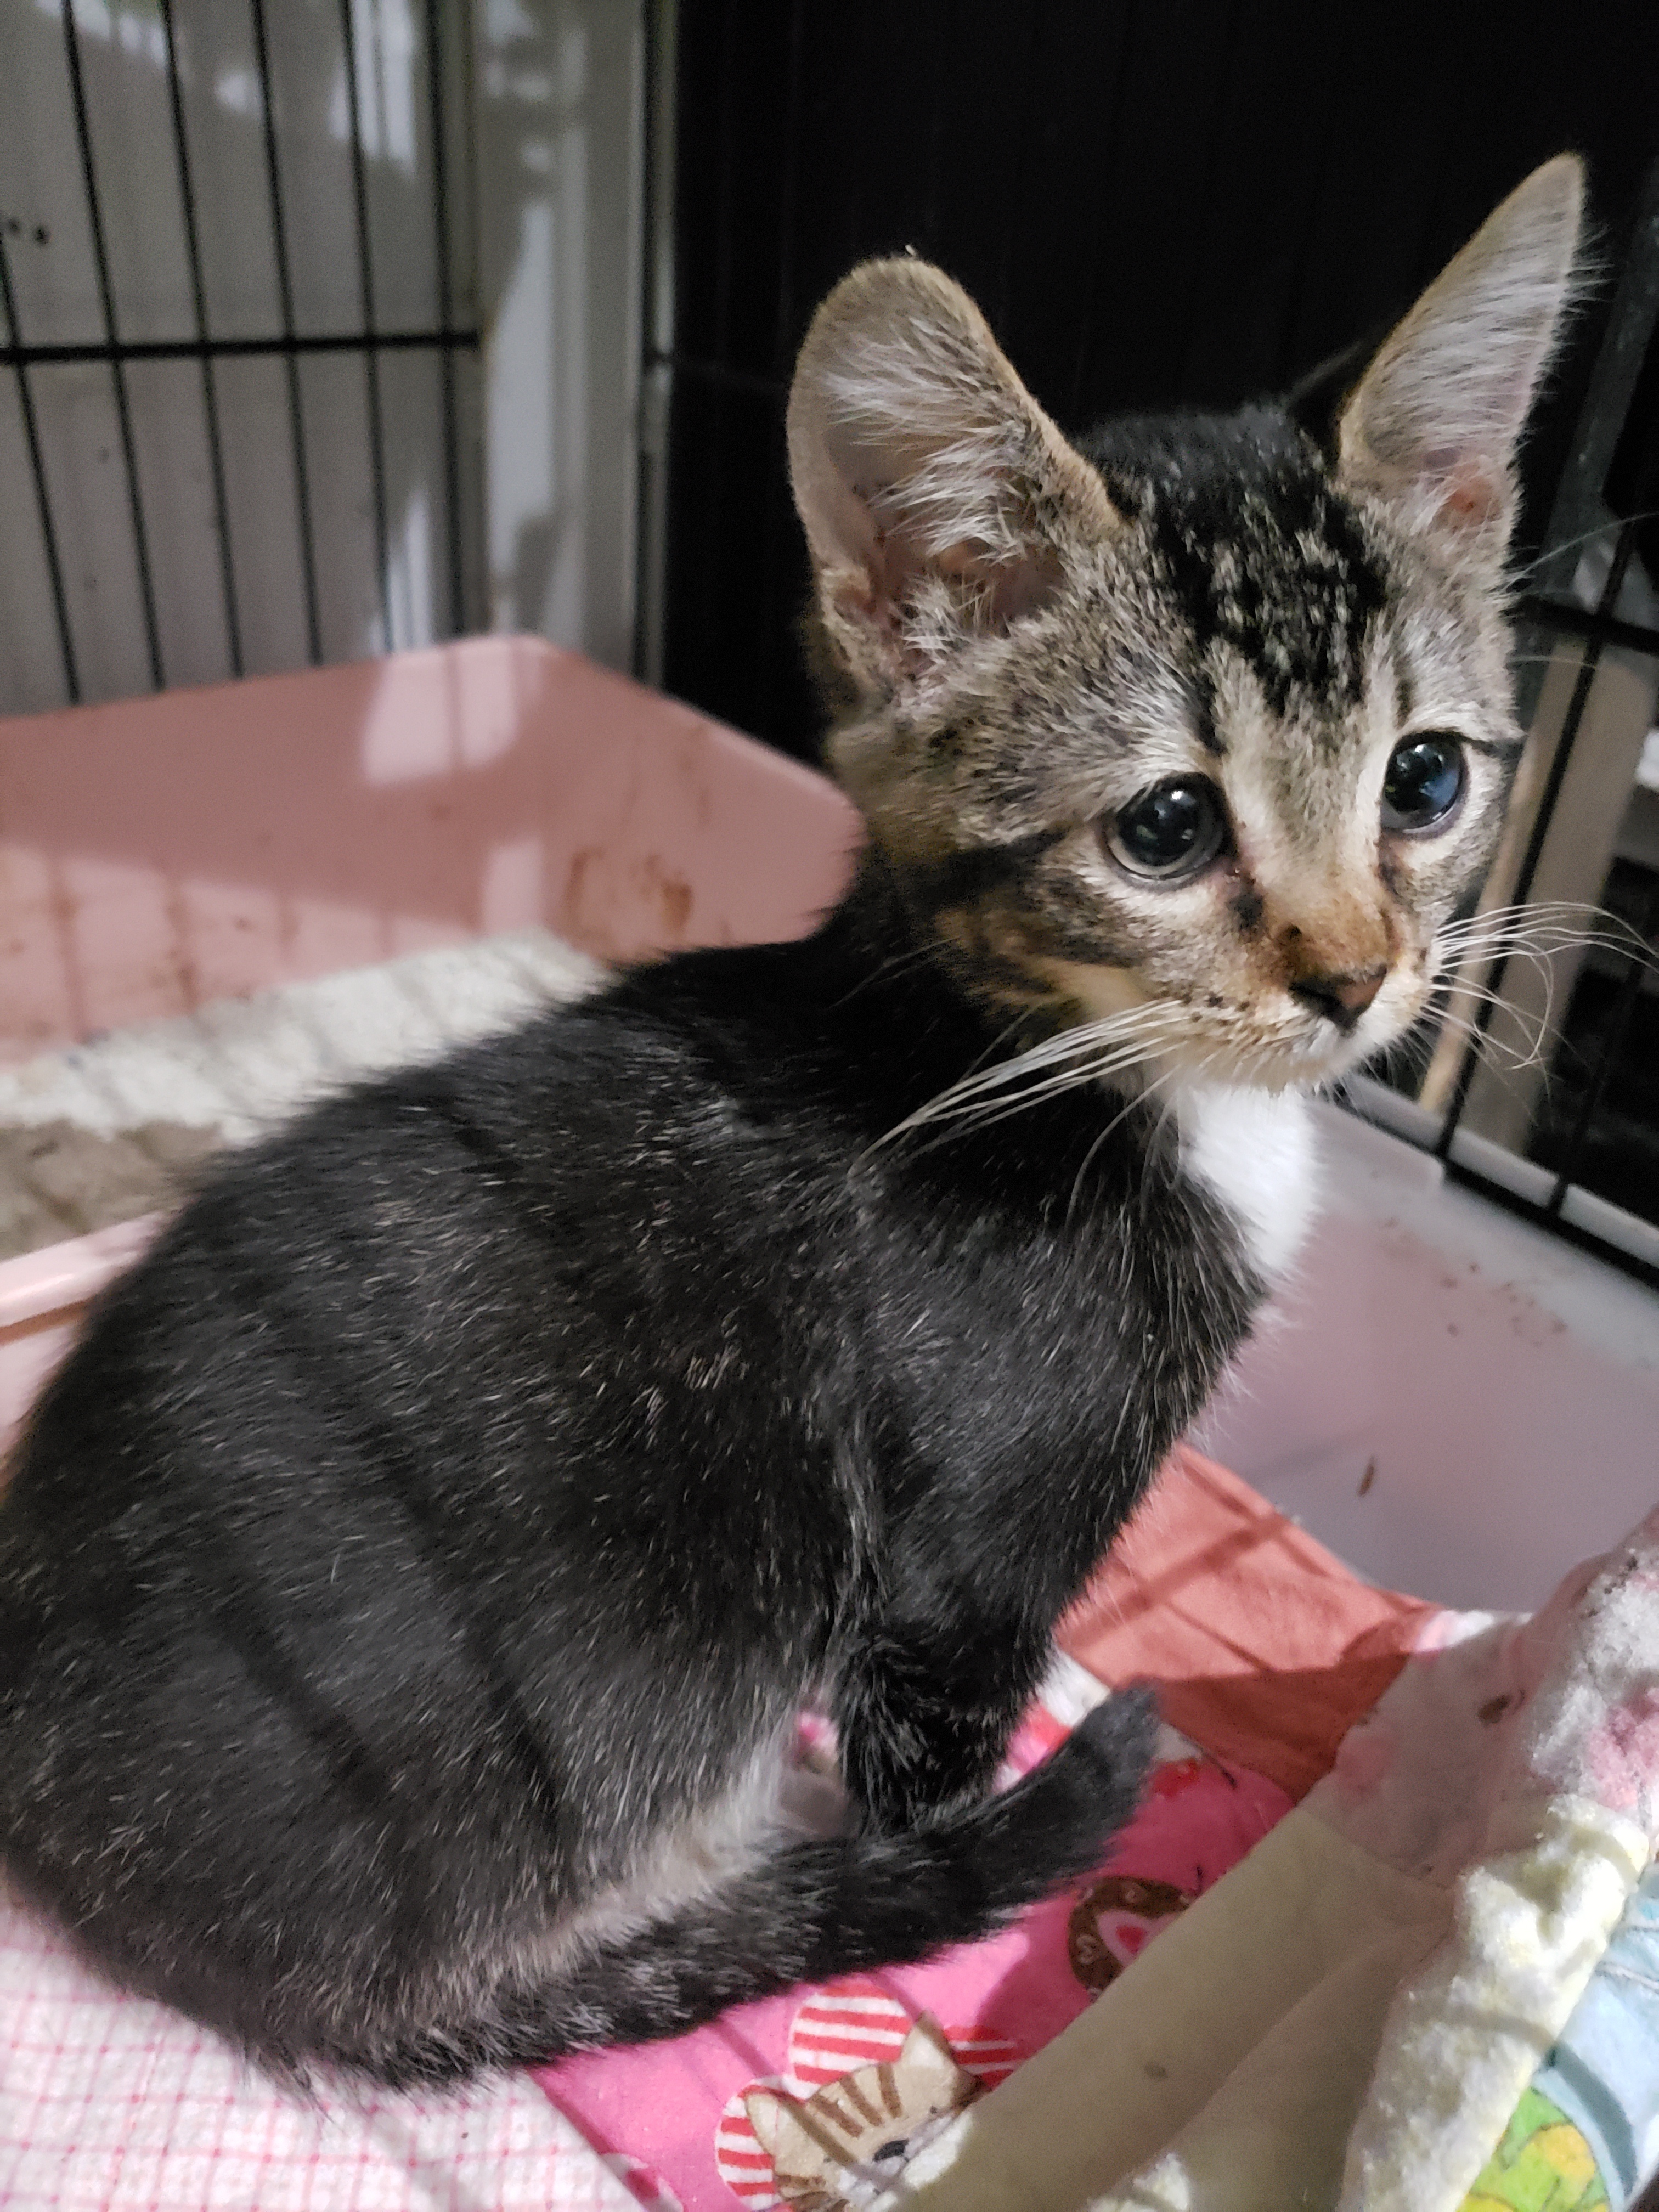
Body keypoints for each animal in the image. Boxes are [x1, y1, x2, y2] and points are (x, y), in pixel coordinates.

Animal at [0, 151, 1583, 2070]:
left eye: (1426, 780)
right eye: (1167, 827)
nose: (1356, 978)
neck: (1041, 1054)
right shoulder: (970, 1542)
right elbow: (937, 1752)